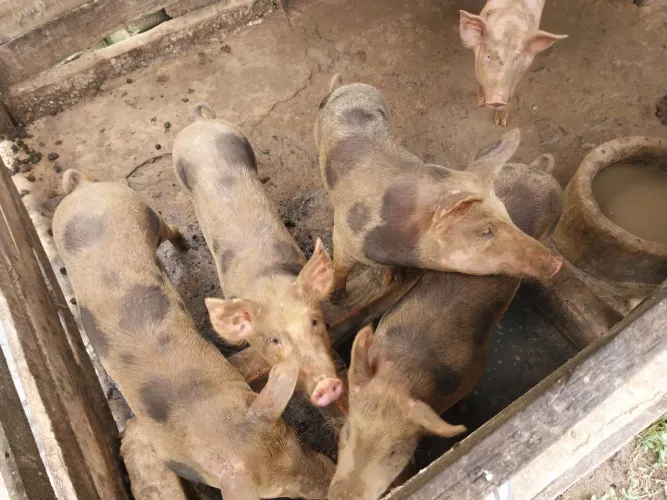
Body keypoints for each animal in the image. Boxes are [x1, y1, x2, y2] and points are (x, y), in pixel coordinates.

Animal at [53, 170, 334, 499]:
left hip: (140, 209)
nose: (332, 481)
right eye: (278, 495)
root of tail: (81, 189)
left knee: (167, 228)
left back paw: (184, 246)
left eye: (300, 440)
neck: (212, 419)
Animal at [314, 79, 562, 293]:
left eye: (506, 214)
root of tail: (348, 85)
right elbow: (340, 270)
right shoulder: (344, 235)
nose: (557, 262)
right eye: (484, 231)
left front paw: (392, 279)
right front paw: (337, 295)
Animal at [328, 150, 564, 500]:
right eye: (345, 432)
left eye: (396, 452)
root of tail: (541, 171)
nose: (341, 496)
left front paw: (463, 411)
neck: (402, 372)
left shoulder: (472, 369)